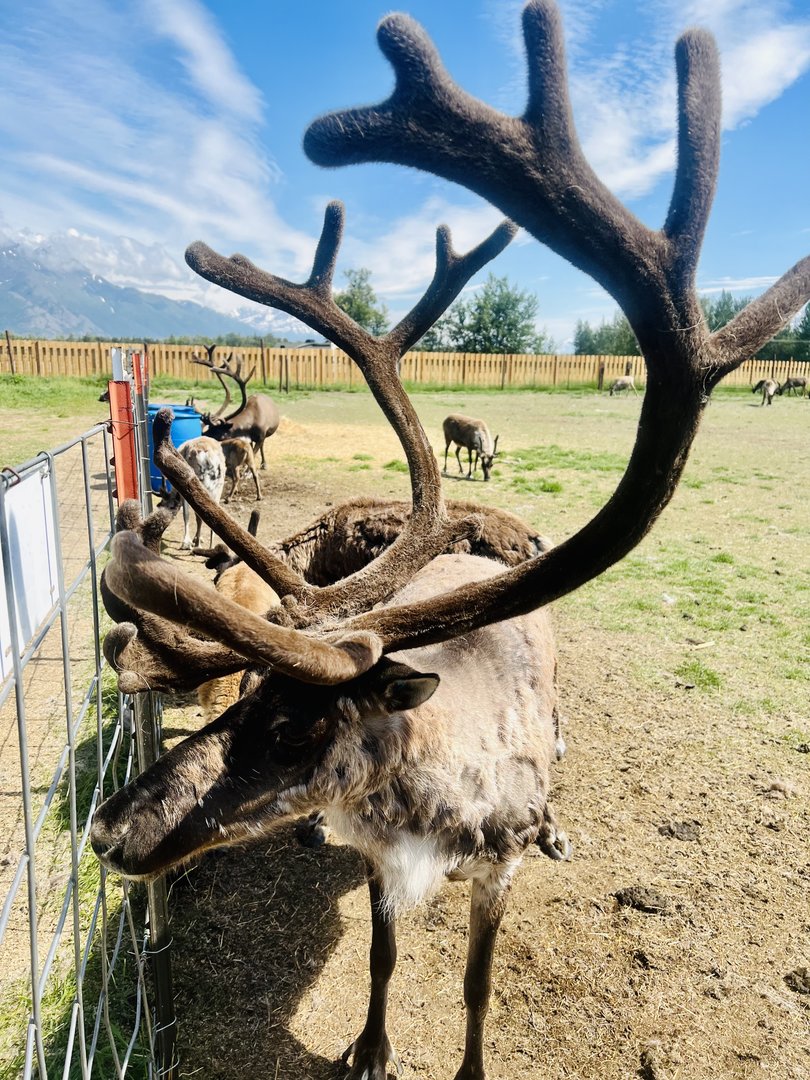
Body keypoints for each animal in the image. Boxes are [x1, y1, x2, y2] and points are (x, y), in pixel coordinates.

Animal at [92, 3, 810, 1078]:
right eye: (249, 696)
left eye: (301, 727)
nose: (106, 829)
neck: (425, 810)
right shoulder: (383, 865)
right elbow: (383, 960)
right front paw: (369, 1047)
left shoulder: (493, 872)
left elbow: (475, 990)